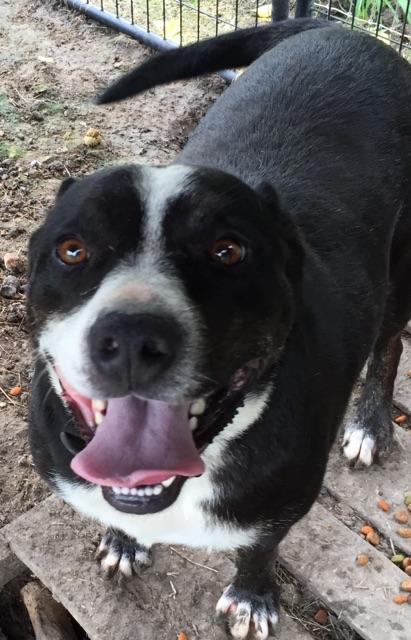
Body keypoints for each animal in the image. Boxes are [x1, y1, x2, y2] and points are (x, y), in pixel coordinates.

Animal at [27, 16, 410, 640]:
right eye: (72, 249)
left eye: (228, 251)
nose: (131, 339)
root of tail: (340, 29)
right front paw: (123, 541)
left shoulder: (282, 502)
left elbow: (260, 546)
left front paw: (253, 596)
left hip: (400, 269)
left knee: (390, 343)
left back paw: (370, 426)